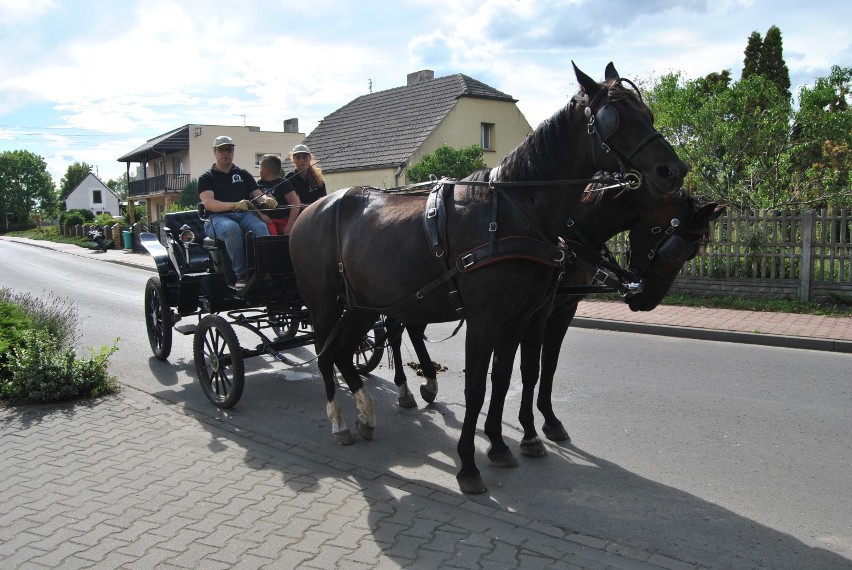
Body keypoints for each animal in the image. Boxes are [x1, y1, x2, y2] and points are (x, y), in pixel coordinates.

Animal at [290, 61, 688, 488]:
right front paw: (468, 463)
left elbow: (506, 377)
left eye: (647, 114)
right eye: (614, 117)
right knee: (325, 354)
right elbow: (477, 386)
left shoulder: (521, 317)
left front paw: (500, 444)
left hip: (362, 305)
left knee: (344, 352)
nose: (674, 170)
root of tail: (311, 211)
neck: (514, 212)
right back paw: (340, 421)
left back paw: (365, 413)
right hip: (325, 306)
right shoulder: (485, 319)